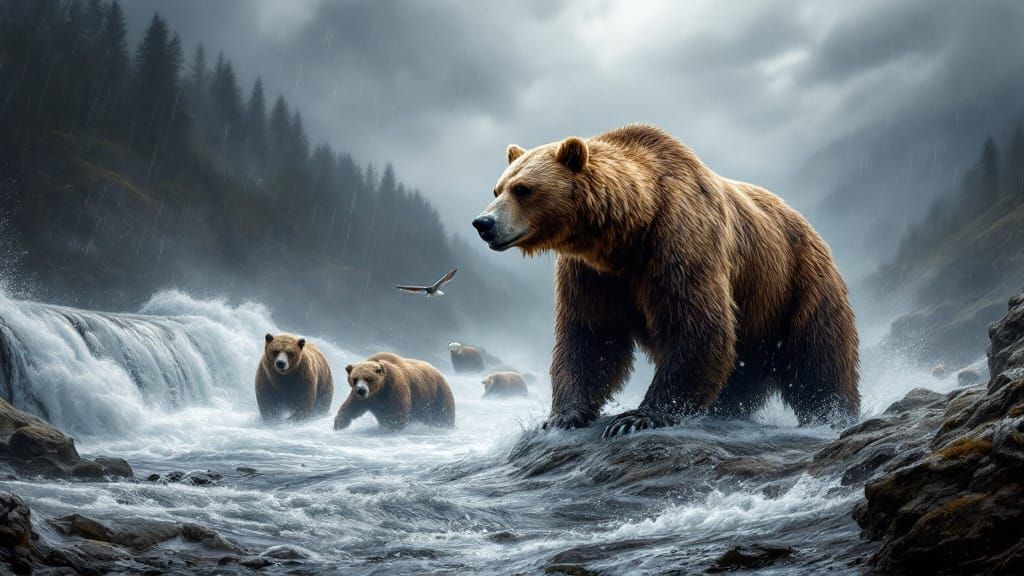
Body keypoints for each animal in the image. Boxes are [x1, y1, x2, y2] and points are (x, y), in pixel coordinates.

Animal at [471, 124, 859, 437]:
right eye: (497, 189)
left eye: (523, 189)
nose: (483, 223)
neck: (625, 234)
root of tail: (810, 227)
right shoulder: (592, 274)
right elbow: (590, 337)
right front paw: (562, 416)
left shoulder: (678, 241)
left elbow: (695, 325)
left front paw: (635, 417)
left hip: (796, 285)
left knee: (818, 359)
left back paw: (834, 415)